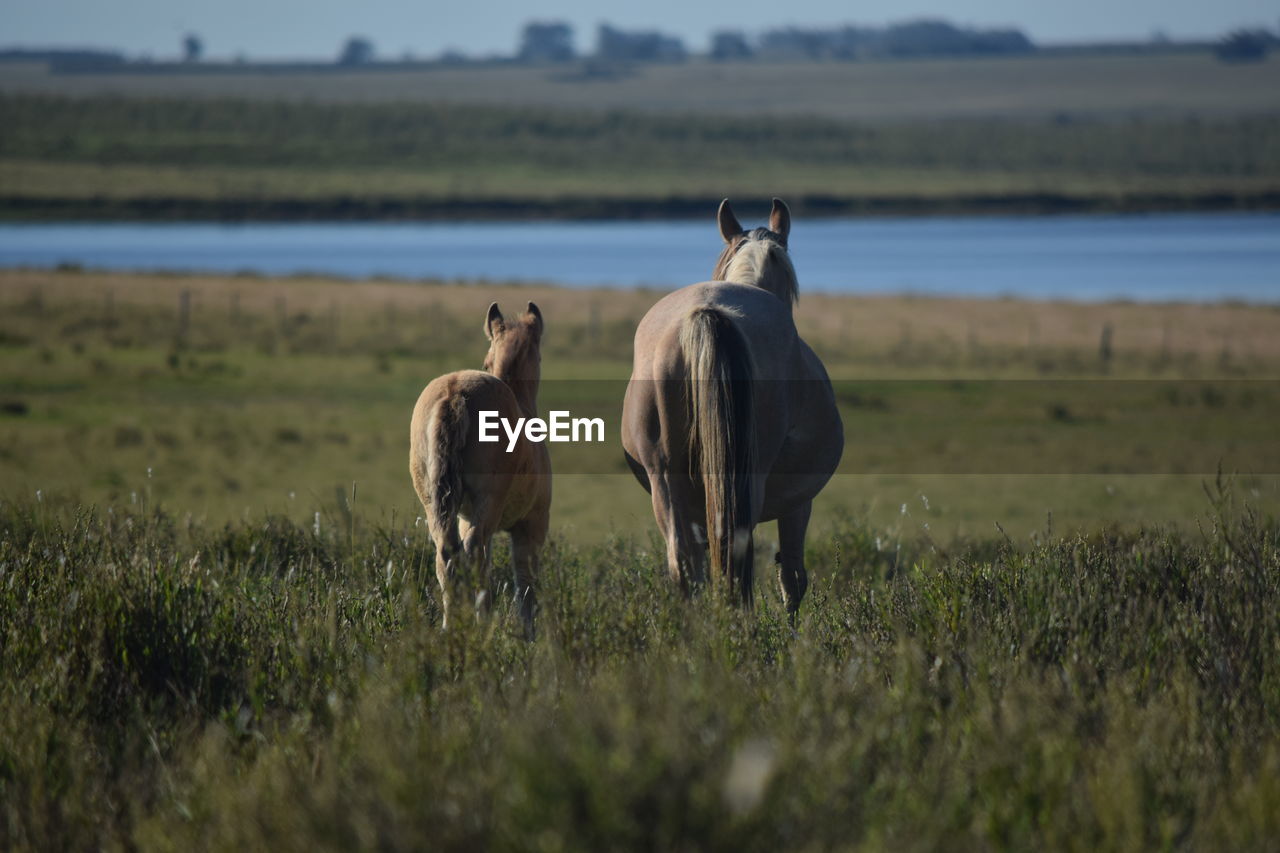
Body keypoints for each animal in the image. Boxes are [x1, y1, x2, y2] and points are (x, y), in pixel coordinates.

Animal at [409, 302, 550, 635]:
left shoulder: (465, 517)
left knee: (447, 554)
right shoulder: (532, 524)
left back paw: (452, 627)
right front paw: (527, 631)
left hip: (435, 503)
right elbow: (524, 579)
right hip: (490, 502)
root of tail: (454, 392)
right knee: (474, 553)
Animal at [619, 198, 839, 612]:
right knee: (736, 558)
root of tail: (706, 314)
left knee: (685, 564)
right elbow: (792, 578)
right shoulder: (799, 503)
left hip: (666, 482)